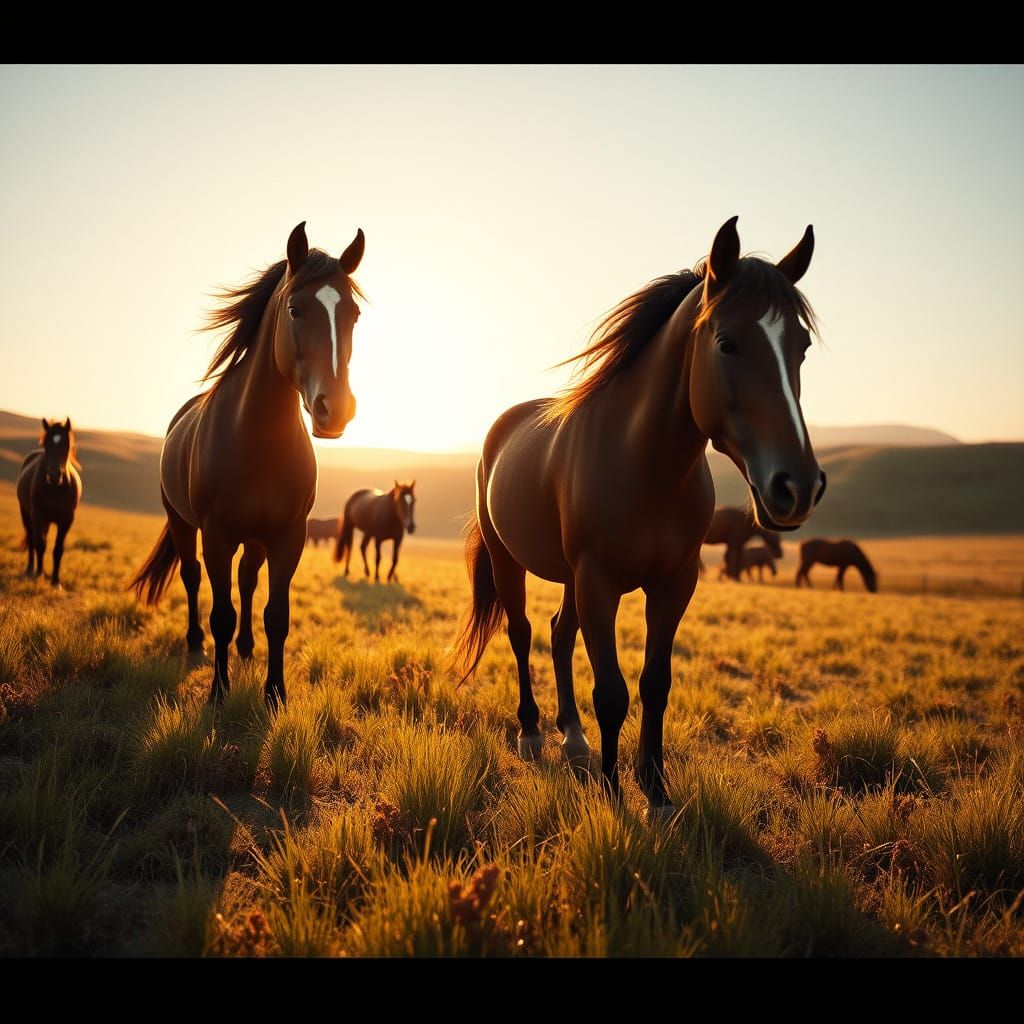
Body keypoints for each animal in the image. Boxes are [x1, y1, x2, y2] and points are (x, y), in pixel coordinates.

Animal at [17, 418, 83, 587]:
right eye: (46, 444)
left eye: (66, 444)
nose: (53, 475)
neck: (55, 489)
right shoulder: (38, 516)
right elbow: (40, 545)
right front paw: (38, 574)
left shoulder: (66, 521)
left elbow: (58, 549)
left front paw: (55, 581)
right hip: (27, 516)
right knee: (32, 540)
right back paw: (31, 569)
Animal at [130, 222, 365, 708]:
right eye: (295, 309)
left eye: (353, 315)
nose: (335, 409)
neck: (257, 440)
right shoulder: (216, 535)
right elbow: (221, 611)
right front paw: (219, 691)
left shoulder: (288, 537)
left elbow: (276, 614)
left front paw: (274, 692)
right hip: (182, 523)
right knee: (192, 577)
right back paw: (195, 644)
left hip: (255, 539)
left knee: (248, 579)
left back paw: (245, 646)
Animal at [452, 216, 826, 818]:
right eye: (727, 342)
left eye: (802, 346)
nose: (798, 486)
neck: (645, 467)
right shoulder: (599, 581)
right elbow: (612, 691)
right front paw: (612, 790)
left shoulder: (674, 582)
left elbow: (655, 683)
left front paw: (655, 788)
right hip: (514, 563)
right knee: (522, 632)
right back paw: (532, 734)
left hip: (569, 578)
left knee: (559, 634)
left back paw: (573, 737)